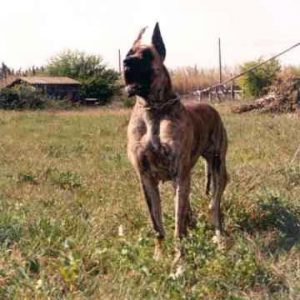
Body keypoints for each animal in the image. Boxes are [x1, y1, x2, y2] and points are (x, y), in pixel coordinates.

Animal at [123, 22, 229, 260]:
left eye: (146, 55)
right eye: (128, 53)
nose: (125, 63)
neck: (154, 109)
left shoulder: (179, 174)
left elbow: (177, 226)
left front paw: (179, 259)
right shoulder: (146, 179)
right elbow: (157, 224)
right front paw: (158, 256)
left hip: (217, 169)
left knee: (214, 205)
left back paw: (218, 237)